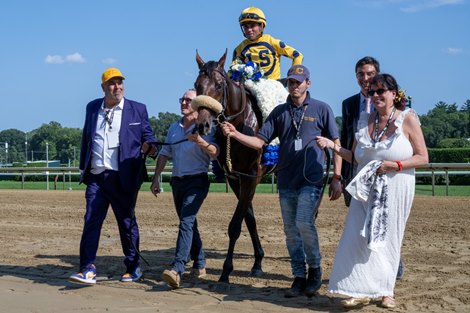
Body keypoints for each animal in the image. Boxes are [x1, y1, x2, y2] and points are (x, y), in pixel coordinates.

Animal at [194, 50, 268, 284]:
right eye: (196, 84)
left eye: (219, 85)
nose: (203, 124)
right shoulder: (235, 177)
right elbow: (249, 219)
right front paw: (257, 262)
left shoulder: (252, 175)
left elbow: (235, 225)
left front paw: (226, 272)